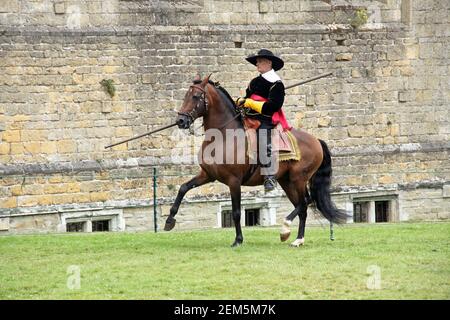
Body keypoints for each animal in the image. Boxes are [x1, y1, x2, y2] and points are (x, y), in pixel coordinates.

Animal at [163, 75, 346, 248]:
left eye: (195, 96)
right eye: (185, 96)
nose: (181, 121)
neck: (223, 136)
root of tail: (316, 140)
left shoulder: (234, 181)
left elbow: (236, 212)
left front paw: (238, 240)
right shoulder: (207, 175)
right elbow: (183, 188)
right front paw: (169, 220)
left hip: (299, 179)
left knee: (305, 202)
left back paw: (285, 229)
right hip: (286, 181)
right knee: (302, 208)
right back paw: (297, 239)